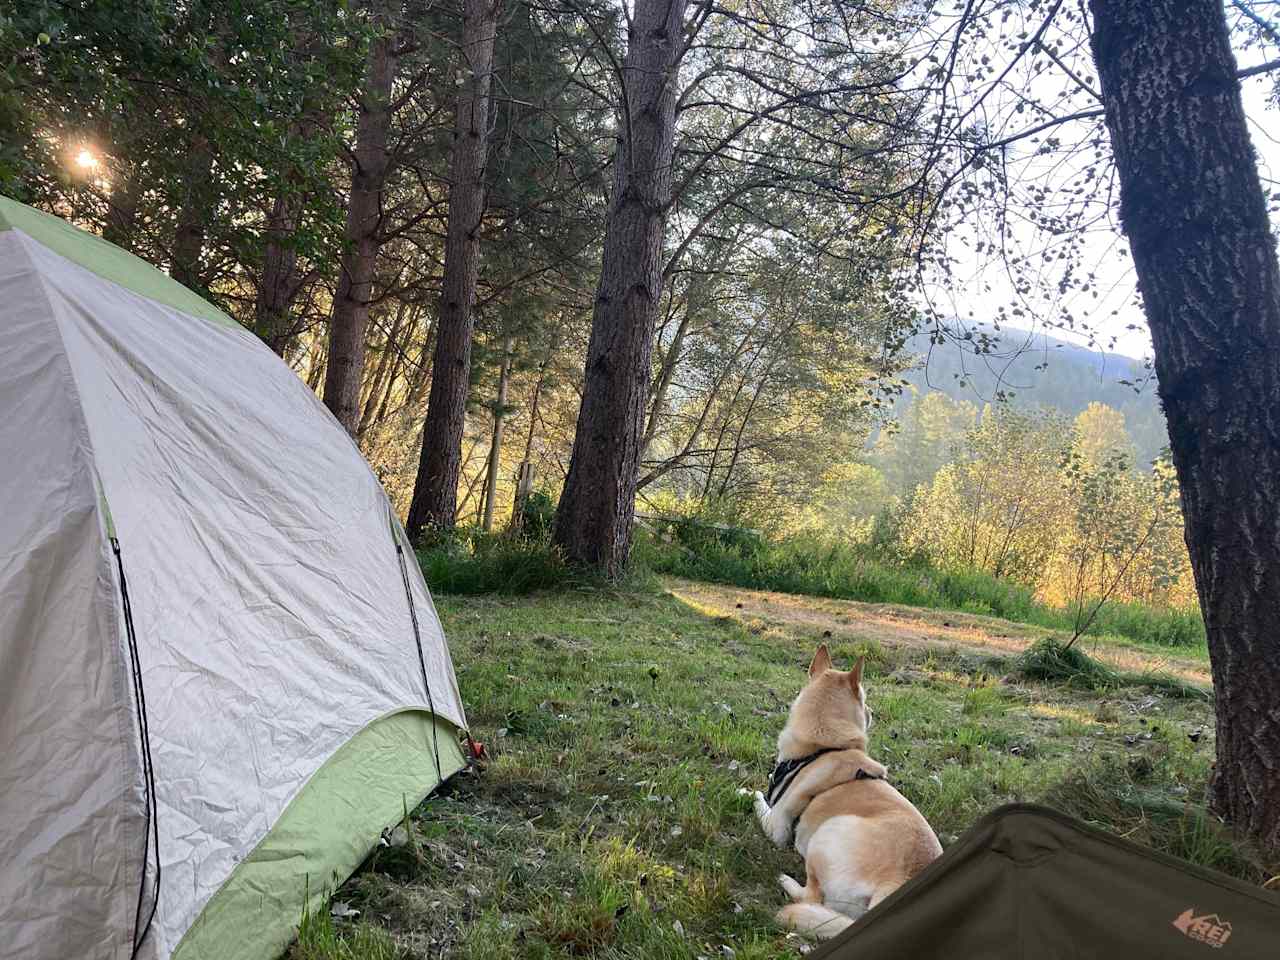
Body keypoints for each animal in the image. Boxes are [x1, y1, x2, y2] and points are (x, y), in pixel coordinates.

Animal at [747, 647, 942, 942]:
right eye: (865, 700)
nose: (873, 712)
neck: (824, 747)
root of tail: (896, 885)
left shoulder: (777, 826)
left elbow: (761, 801)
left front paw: (746, 792)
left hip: (827, 833)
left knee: (812, 898)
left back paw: (787, 882)